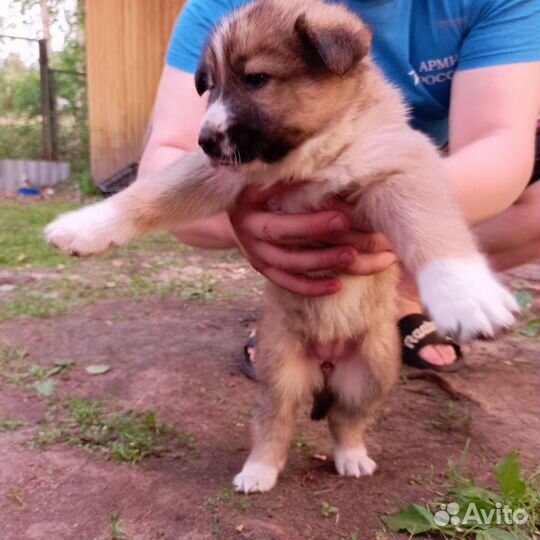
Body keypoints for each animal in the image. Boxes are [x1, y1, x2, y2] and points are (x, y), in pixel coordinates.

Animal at [44, 0, 516, 496]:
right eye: (210, 85)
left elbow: (431, 226)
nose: (204, 140)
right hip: (279, 372)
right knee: (275, 424)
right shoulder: (219, 172)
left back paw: (351, 456)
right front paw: (82, 227)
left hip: (373, 370)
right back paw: (259, 470)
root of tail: (326, 365)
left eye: (256, 79)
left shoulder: (398, 168)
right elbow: (148, 193)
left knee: (347, 421)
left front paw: (466, 294)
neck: (309, 156)